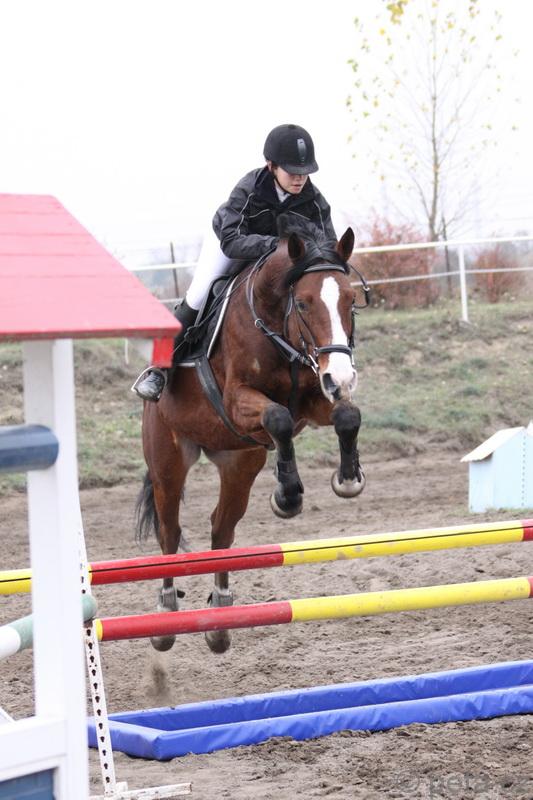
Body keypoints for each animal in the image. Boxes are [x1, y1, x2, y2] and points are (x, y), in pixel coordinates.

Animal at [136, 216, 367, 654]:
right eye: (304, 303)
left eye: (350, 300)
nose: (343, 378)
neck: (277, 325)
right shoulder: (237, 401)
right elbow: (278, 418)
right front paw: (288, 495)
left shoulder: (315, 397)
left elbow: (347, 415)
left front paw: (348, 478)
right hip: (168, 462)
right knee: (170, 533)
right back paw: (164, 618)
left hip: (239, 462)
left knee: (221, 529)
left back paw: (219, 620)